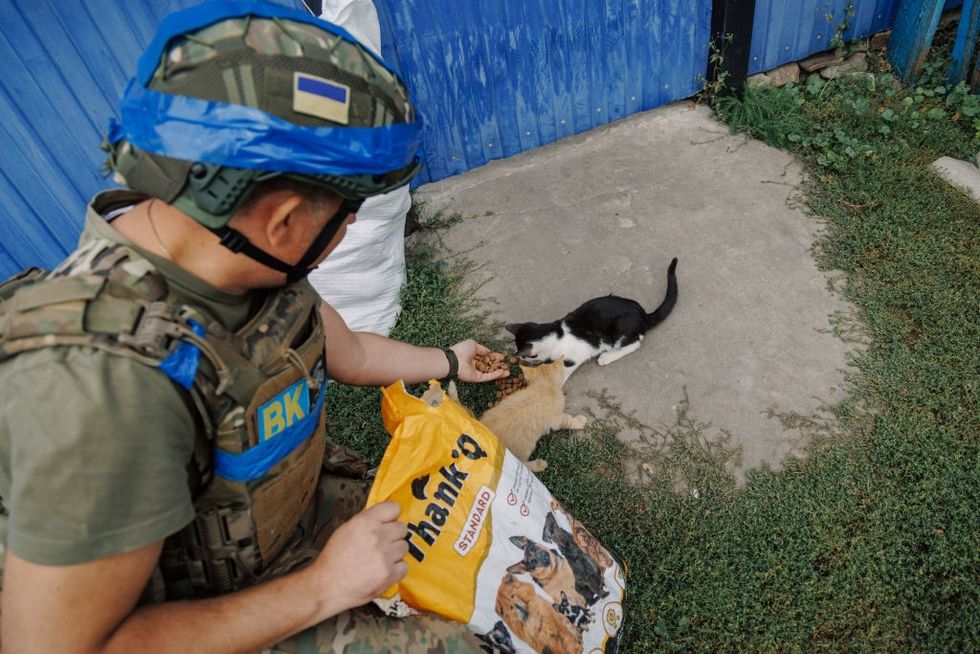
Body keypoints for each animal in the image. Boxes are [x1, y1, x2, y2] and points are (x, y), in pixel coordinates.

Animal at [506, 258, 672, 384]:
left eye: (526, 355)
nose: (520, 358)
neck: (555, 335)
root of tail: (643, 313)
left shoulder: (578, 354)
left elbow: (565, 368)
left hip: (620, 329)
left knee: (635, 343)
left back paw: (607, 357)